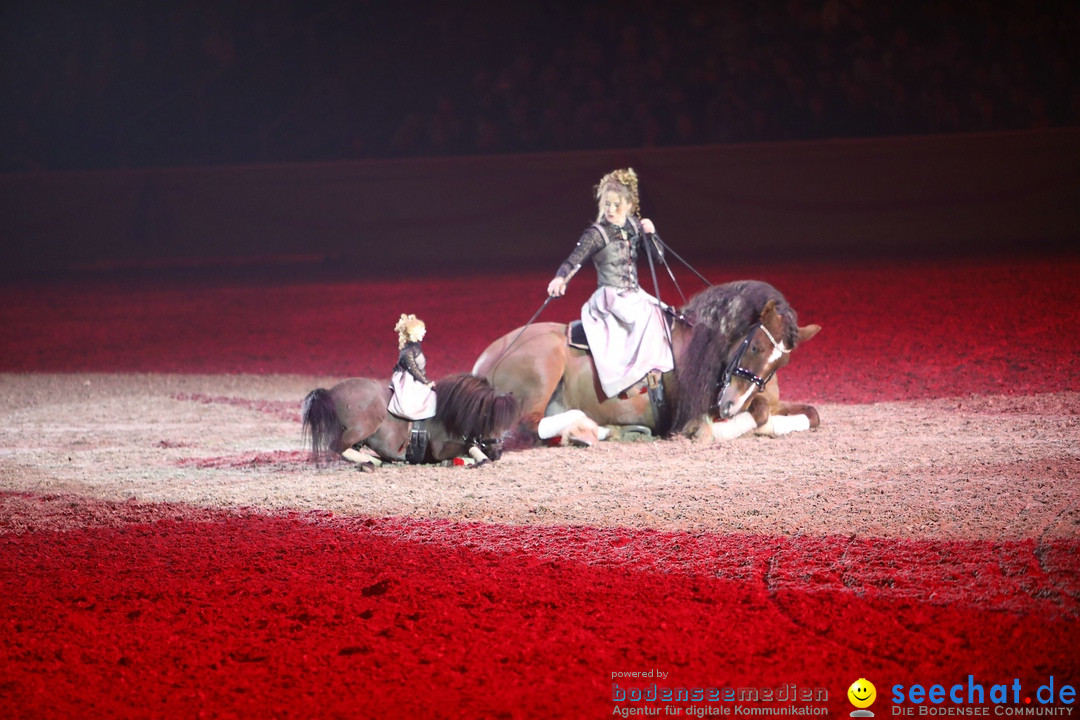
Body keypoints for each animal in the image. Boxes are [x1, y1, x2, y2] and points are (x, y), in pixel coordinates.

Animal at [302, 375, 520, 470]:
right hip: (363, 426)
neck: (448, 413)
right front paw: (481, 459)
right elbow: (468, 446)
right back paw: (372, 462)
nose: (498, 453)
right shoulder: (440, 448)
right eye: (488, 419)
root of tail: (331, 392)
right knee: (337, 447)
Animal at [473, 280, 816, 444]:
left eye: (779, 365)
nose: (730, 406)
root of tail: (484, 361)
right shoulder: (698, 413)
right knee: (530, 427)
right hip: (544, 368)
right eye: (755, 346)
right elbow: (754, 414)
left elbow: (810, 414)